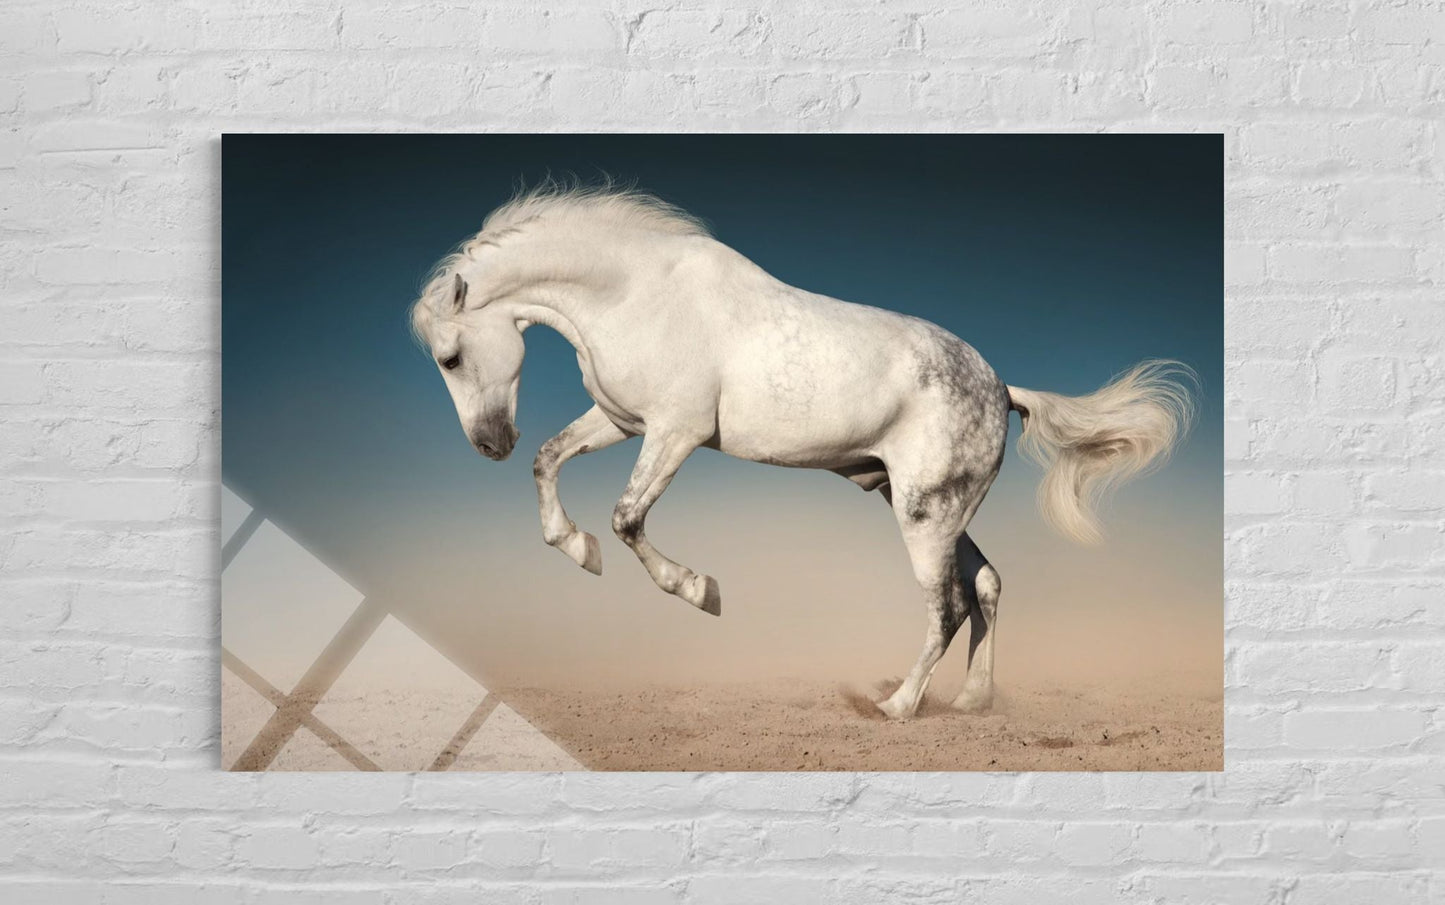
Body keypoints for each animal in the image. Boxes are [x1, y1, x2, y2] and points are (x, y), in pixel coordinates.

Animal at [409, 185, 1193, 720]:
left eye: (450, 357)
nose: (489, 444)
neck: (636, 293)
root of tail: (1002, 388)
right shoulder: (622, 420)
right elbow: (550, 460)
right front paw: (577, 549)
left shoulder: (674, 432)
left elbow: (628, 517)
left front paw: (700, 590)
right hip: (929, 507)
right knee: (987, 585)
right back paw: (972, 700)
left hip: (923, 514)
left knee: (945, 604)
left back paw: (898, 706)